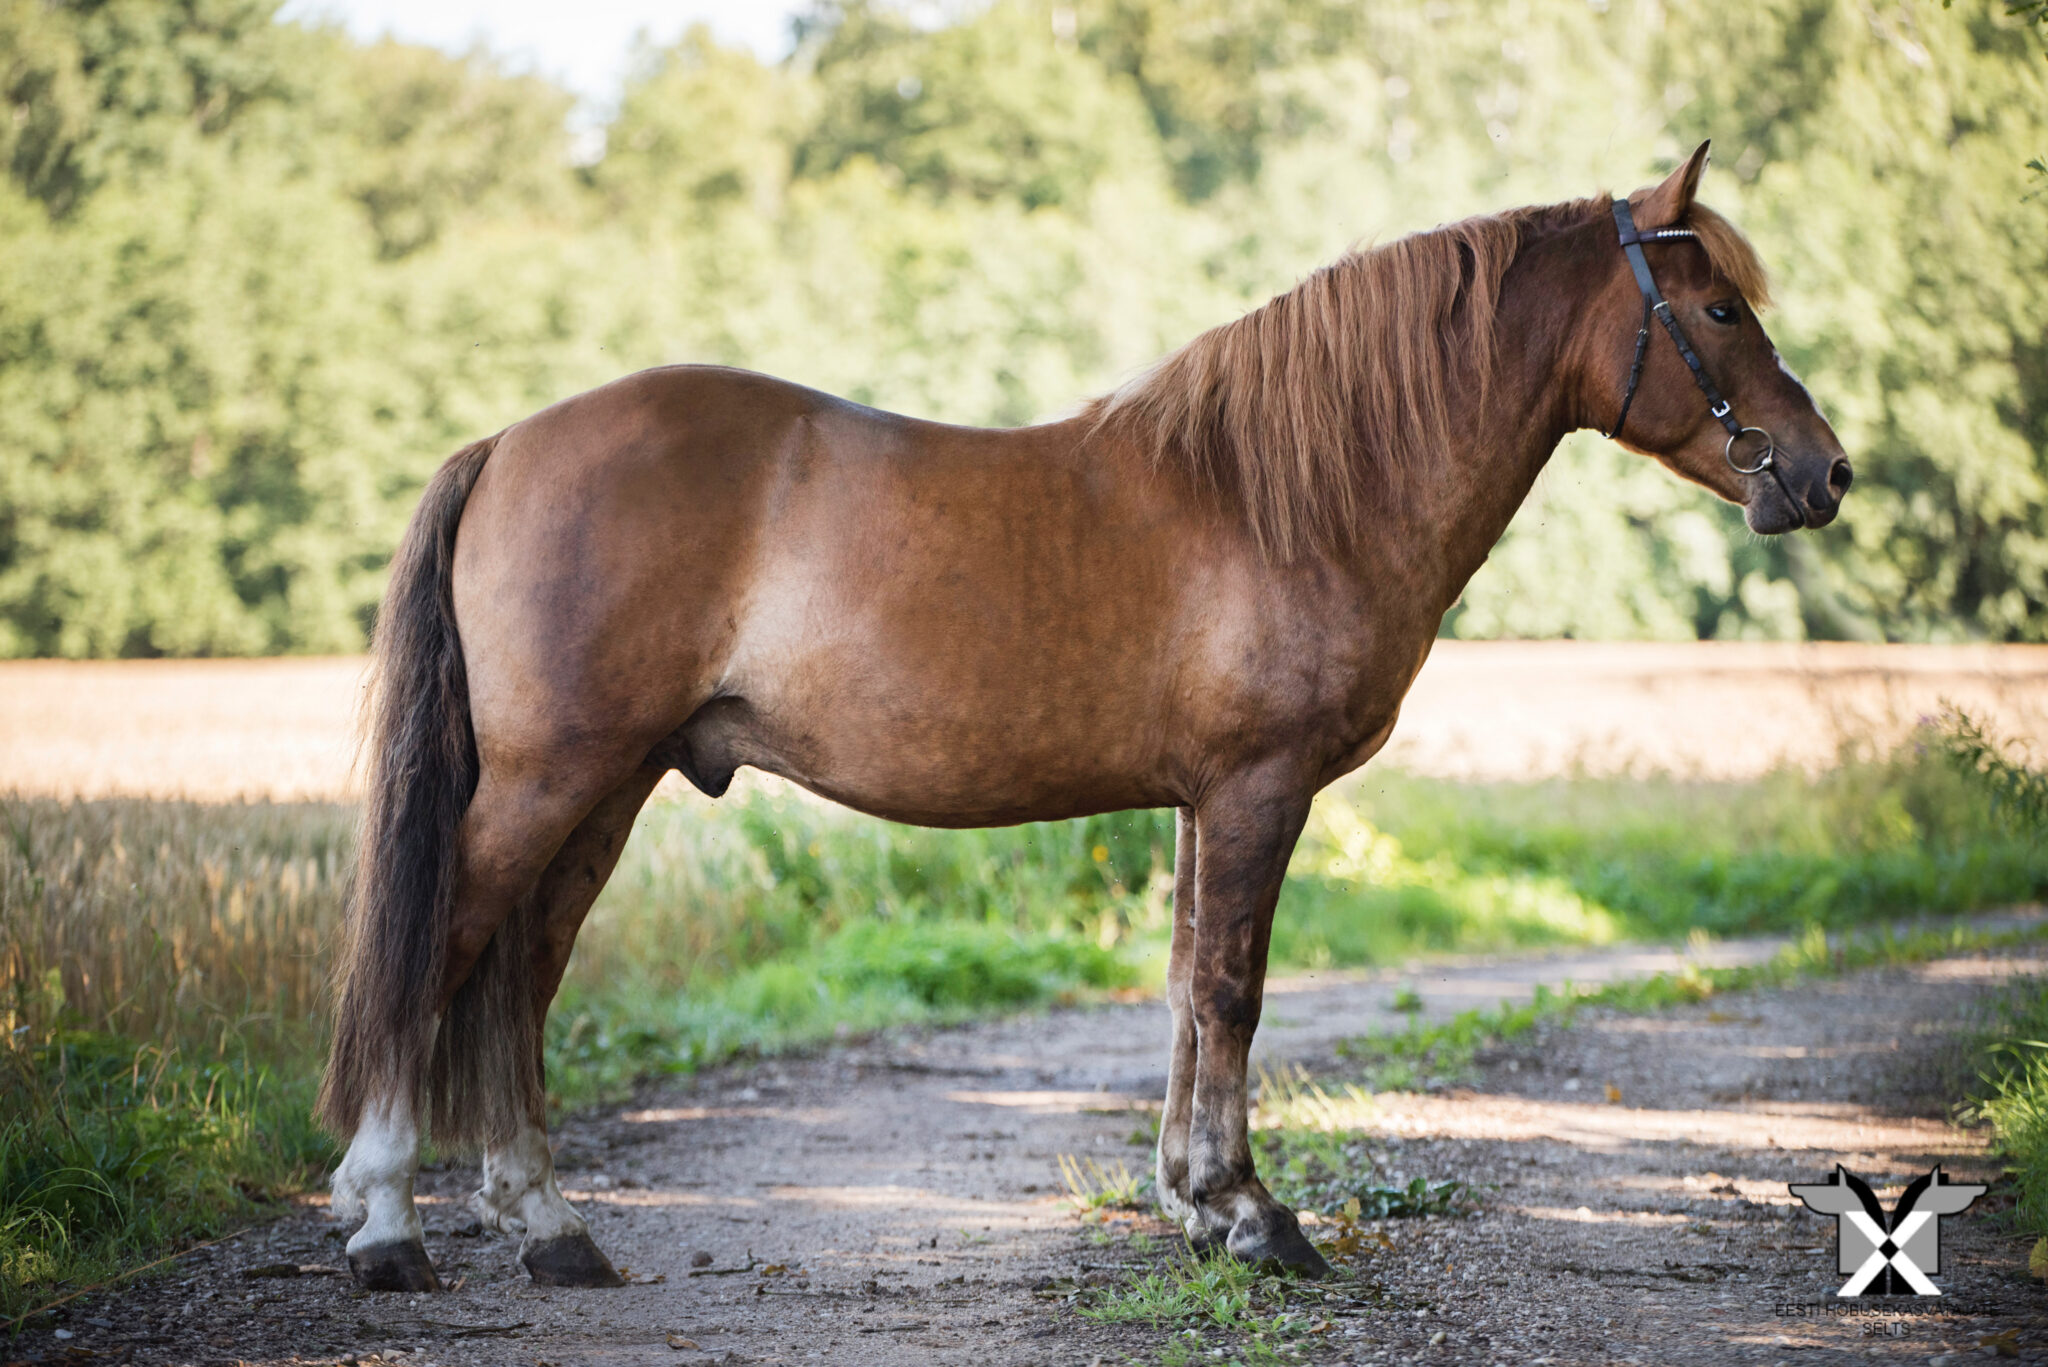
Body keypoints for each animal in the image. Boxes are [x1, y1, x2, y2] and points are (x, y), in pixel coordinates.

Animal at [319, 142, 1852, 1291]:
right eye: (1719, 309)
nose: (1825, 471)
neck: (1285, 491)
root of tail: (511, 442)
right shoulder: (1253, 790)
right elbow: (1231, 989)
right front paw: (1253, 1212)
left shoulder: (1195, 801)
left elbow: (1182, 988)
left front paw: (1193, 1199)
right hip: (547, 779)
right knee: (445, 947)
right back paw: (387, 1220)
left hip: (611, 783)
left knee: (520, 971)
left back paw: (549, 1226)